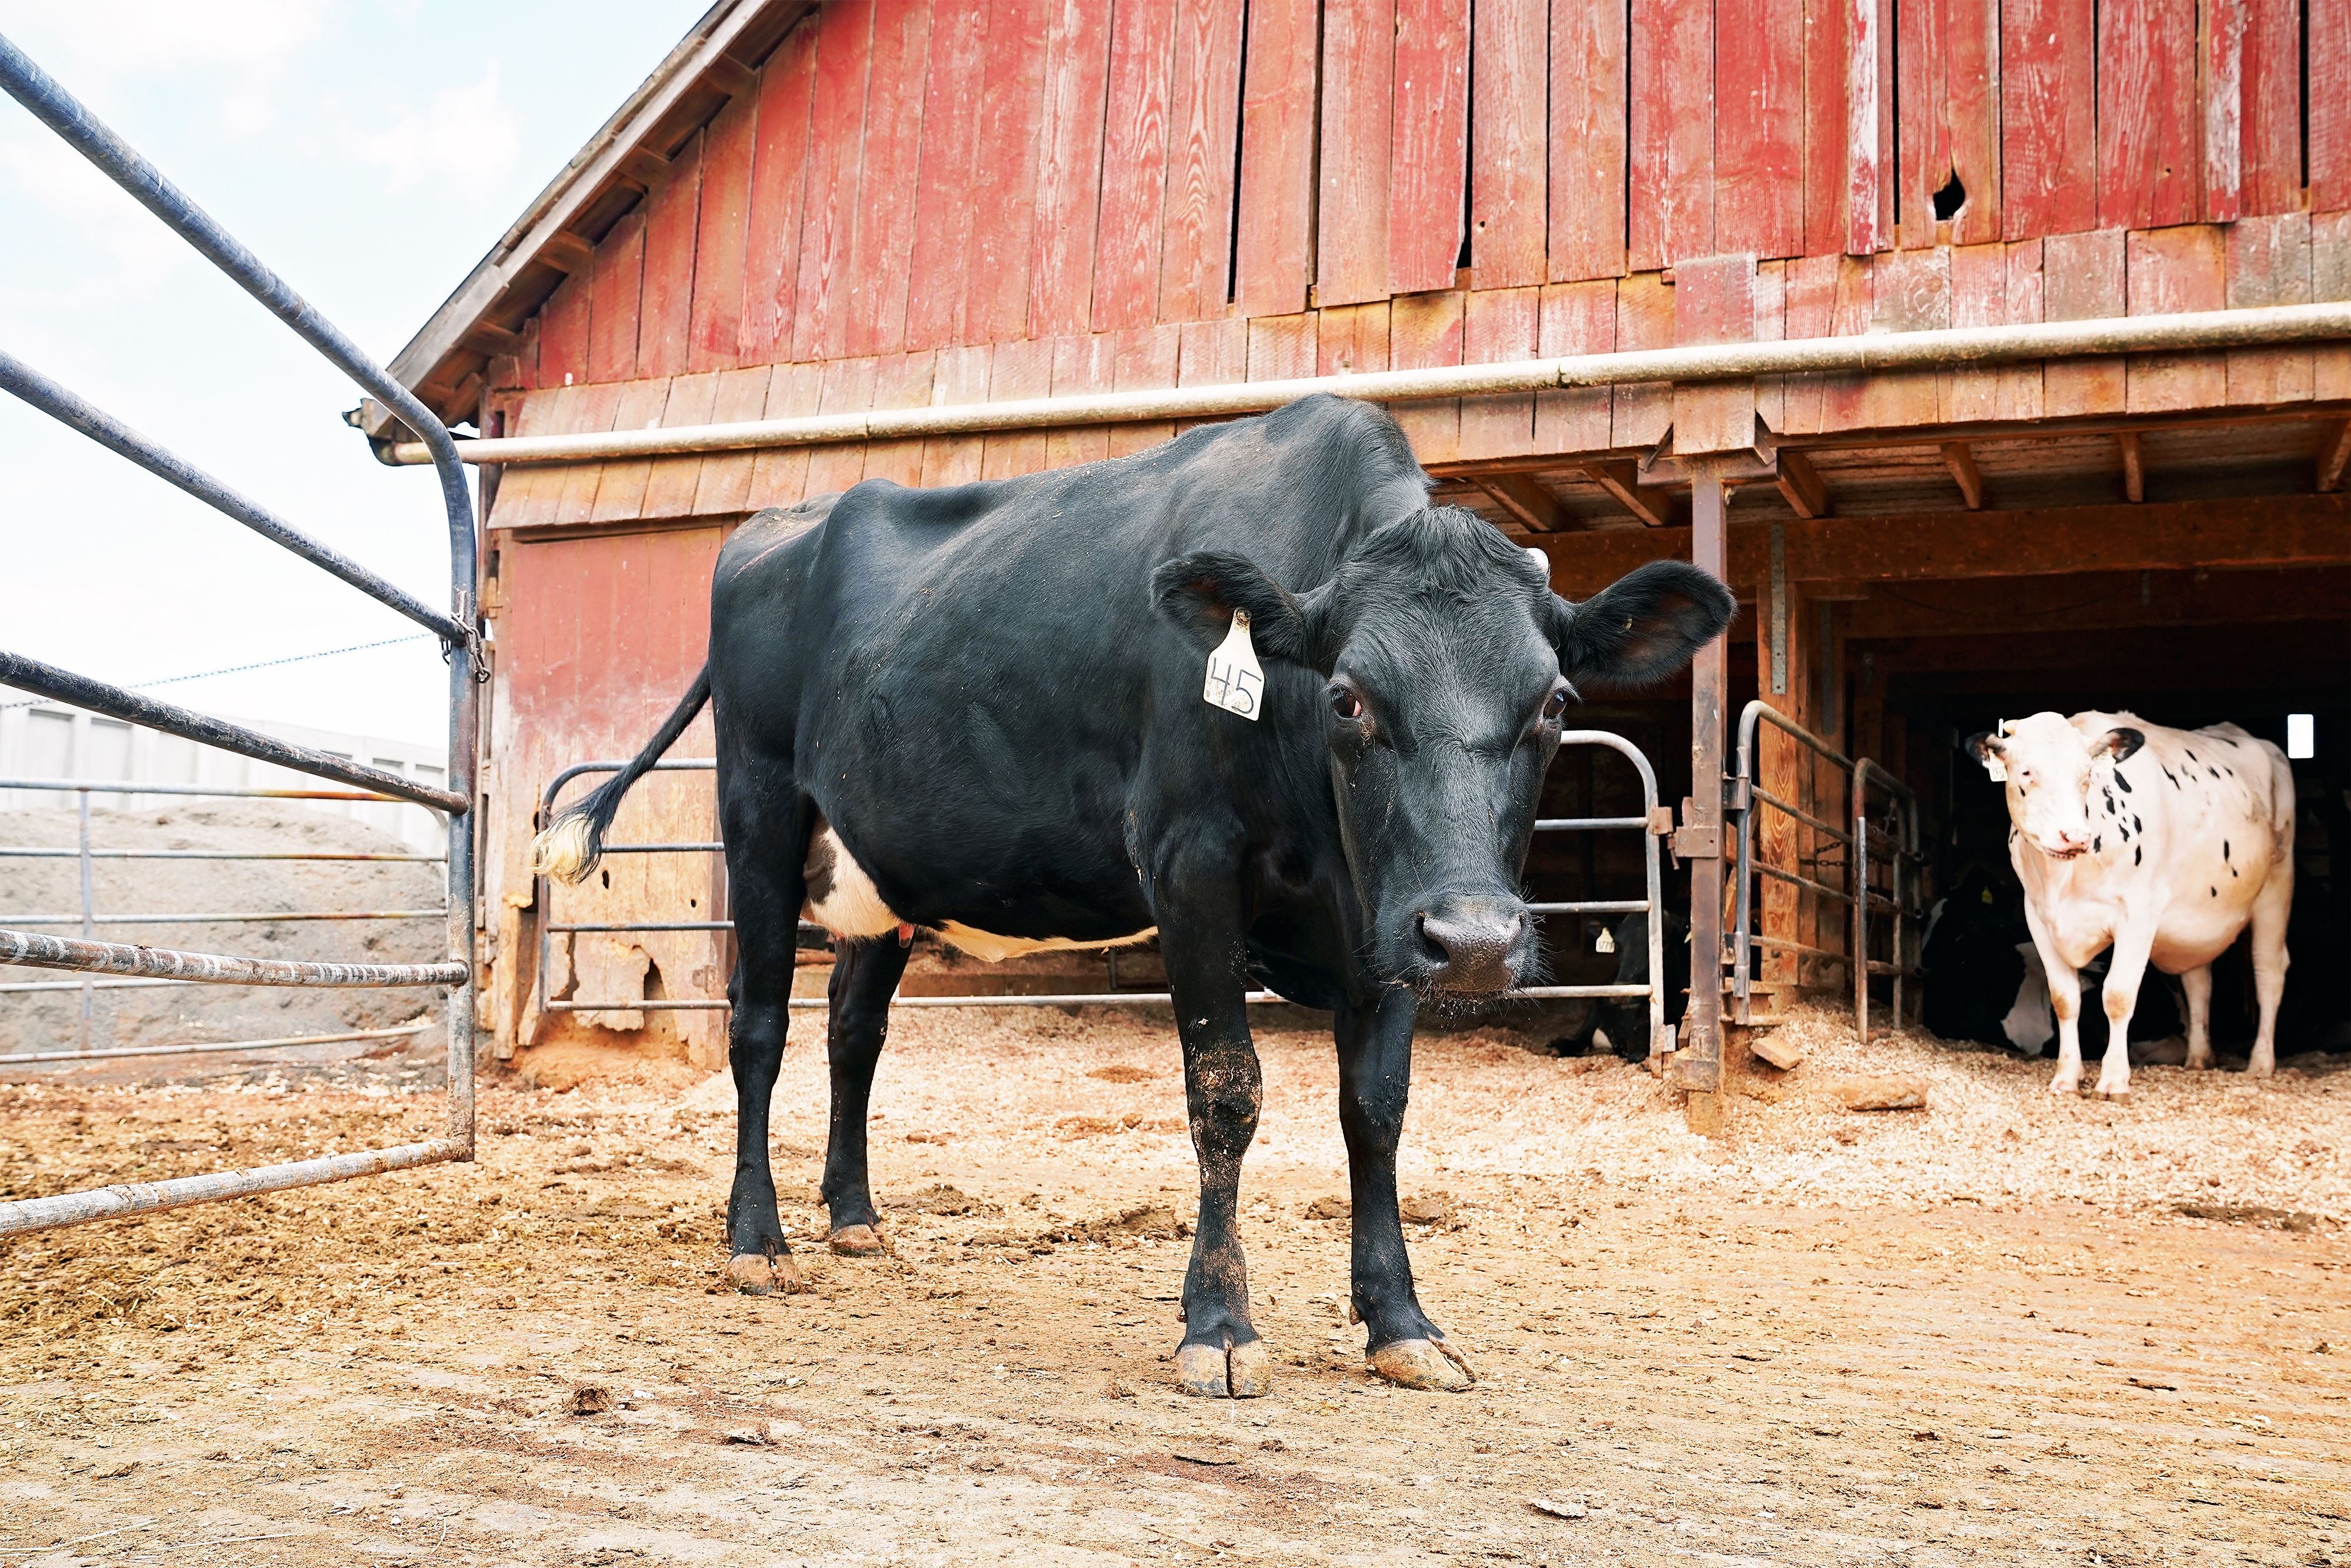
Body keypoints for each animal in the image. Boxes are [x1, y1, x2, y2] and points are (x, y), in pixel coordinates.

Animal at [530, 395, 1732, 1396]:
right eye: (1348, 696)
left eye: (1555, 701)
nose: (1478, 940)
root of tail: (778, 523)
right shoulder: (1192, 863)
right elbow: (1226, 1090)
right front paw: (1220, 1328)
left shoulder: (1386, 912)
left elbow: (1377, 1109)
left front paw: (1402, 1323)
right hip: (758, 810)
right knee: (761, 1027)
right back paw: (758, 1241)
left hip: (885, 866)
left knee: (853, 1030)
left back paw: (856, 1219)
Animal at [1967, 710, 2294, 1097]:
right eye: (2027, 772)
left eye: (2088, 775)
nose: (2075, 836)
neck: (2064, 879)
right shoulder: (2038, 918)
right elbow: (2065, 1000)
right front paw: (2066, 1078)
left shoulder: (2138, 913)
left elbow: (2118, 996)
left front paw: (2113, 1080)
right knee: (2199, 981)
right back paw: (2198, 1059)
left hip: (2276, 887)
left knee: (2268, 971)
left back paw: (2260, 1064)